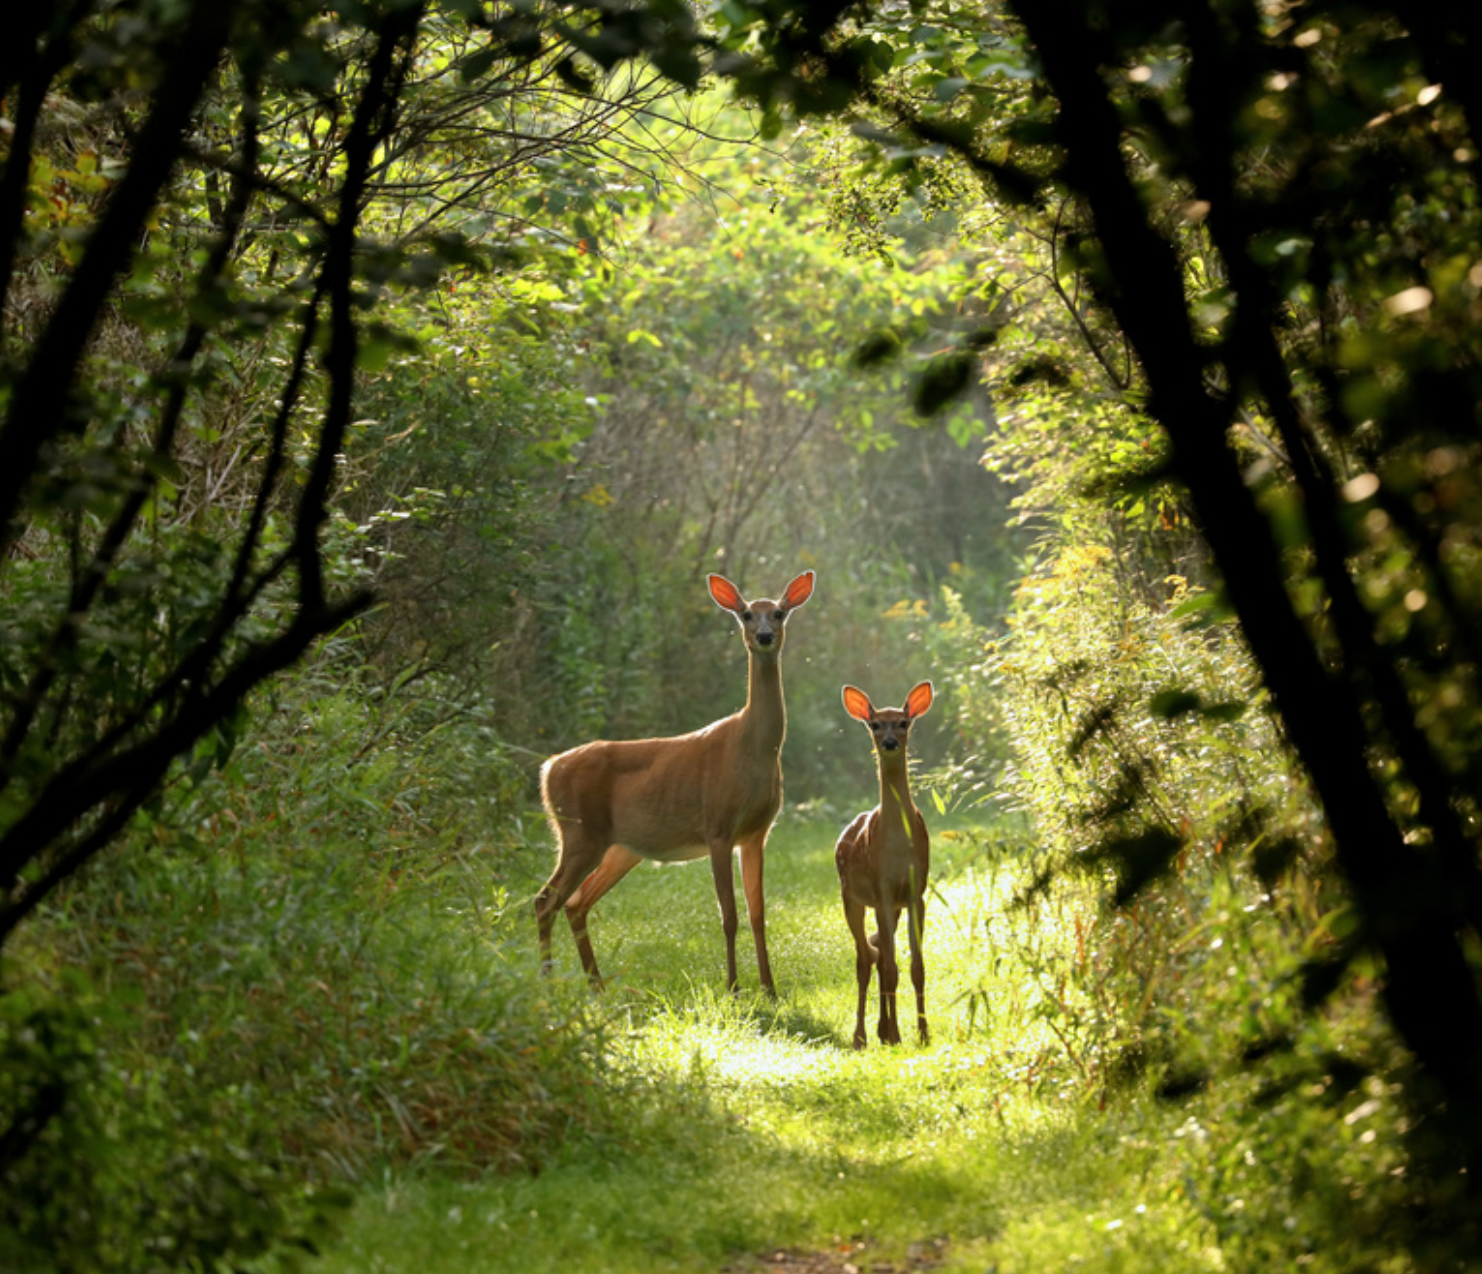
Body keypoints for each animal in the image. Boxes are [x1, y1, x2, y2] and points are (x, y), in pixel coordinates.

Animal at [535, 570, 816, 995]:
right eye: (747, 614)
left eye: (780, 612)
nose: (765, 636)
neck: (752, 749)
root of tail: (548, 769)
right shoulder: (718, 826)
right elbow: (729, 916)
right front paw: (734, 988)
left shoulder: (756, 833)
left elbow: (757, 913)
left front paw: (769, 989)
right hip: (580, 833)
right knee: (545, 900)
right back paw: (549, 986)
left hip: (619, 848)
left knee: (575, 902)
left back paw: (596, 987)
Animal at [835, 680, 934, 1049]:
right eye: (875, 724)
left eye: (904, 722)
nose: (890, 742)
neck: (898, 847)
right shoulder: (881, 889)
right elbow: (891, 967)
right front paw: (896, 1034)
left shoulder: (915, 892)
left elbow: (916, 967)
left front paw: (922, 1033)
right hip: (850, 896)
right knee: (865, 958)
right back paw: (863, 1036)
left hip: (892, 906)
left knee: (877, 955)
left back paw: (883, 1030)